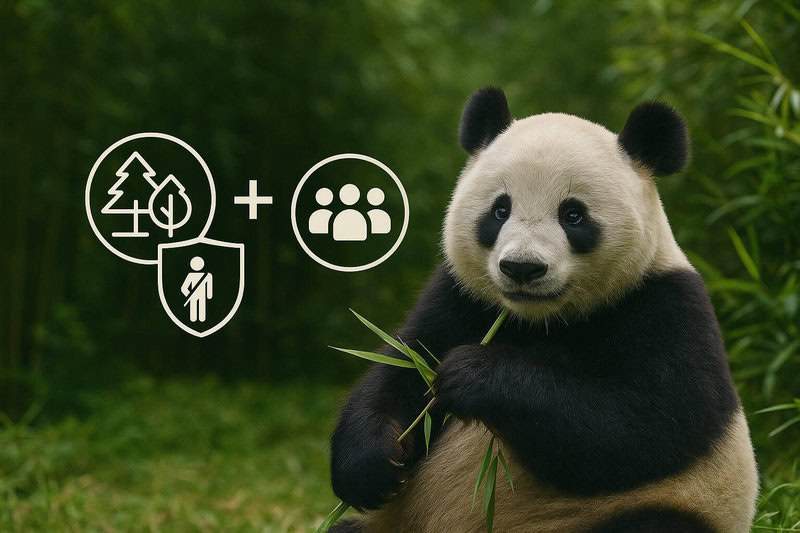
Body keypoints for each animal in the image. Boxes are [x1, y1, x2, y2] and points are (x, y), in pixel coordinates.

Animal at [328, 87, 758, 532]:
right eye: (500, 210)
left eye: (573, 215)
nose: (522, 267)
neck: (539, 320)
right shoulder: (463, 296)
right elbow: (405, 365)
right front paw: (372, 464)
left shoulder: (666, 307)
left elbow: (644, 424)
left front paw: (471, 373)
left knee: (652, 522)